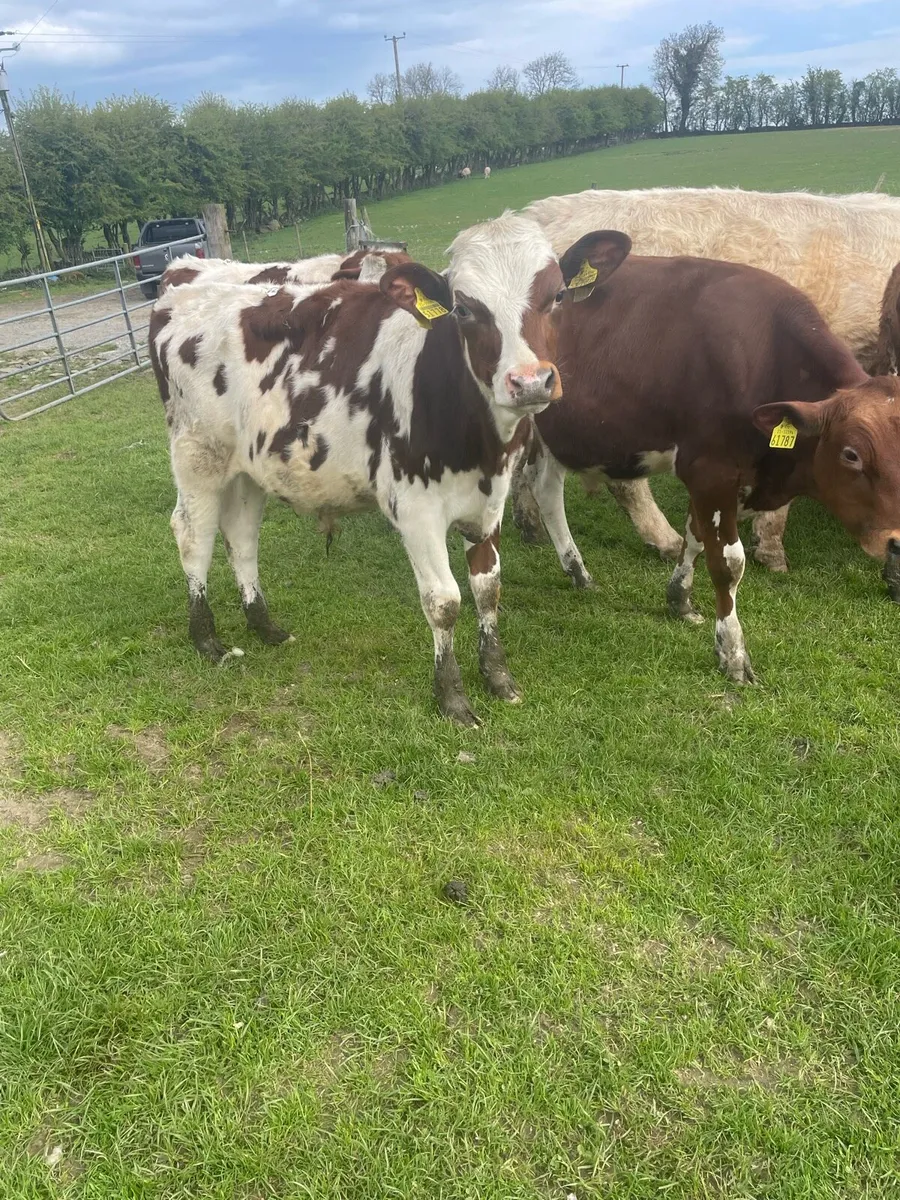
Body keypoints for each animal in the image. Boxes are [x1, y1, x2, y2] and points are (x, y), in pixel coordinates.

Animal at [148, 214, 570, 726]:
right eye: (464, 309)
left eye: (558, 295)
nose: (529, 381)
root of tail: (183, 291)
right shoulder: (415, 510)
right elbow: (444, 602)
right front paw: (451, 697)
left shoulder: (490, 503)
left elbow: (488, 589)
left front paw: (498, 677)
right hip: (198, 456)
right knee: (194, 535)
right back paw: (207, 637)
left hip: (249, 467)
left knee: (242, 536)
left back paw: (264, 625)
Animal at [523, 230, 900, 684]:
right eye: (851, 454)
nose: (897, 543)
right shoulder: (710, 472)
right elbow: (727, 563)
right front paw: (733, 653)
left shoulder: (716, 477)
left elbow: (695, 539)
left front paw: (679, 601)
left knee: (546, 490)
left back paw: (577, 571)